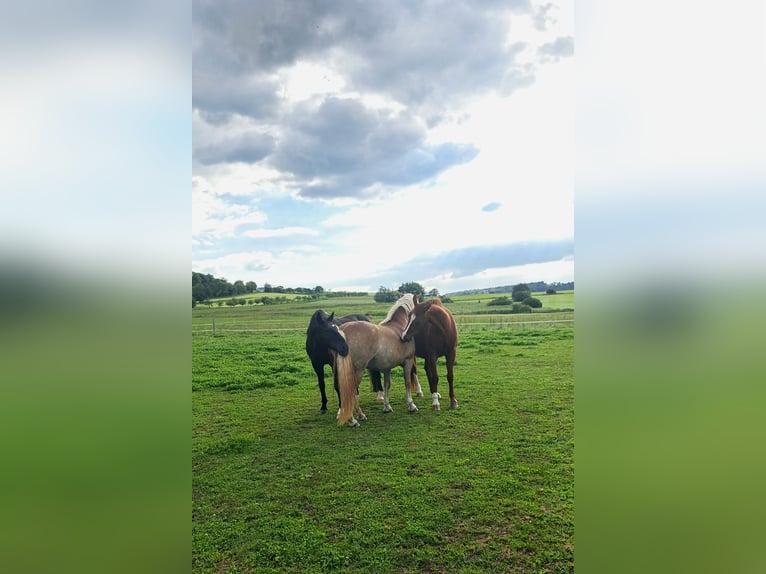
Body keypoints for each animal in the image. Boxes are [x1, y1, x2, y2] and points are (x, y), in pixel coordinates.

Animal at [334, 296, 420, 428]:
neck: (399, 326)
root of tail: (344, 329)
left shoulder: (386, 368)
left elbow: (386, 385)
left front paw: (387, 407)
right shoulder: (408, 362)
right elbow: (407, 383)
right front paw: (411, 405)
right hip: (357, 371)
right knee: (352, 392)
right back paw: (355, 419)